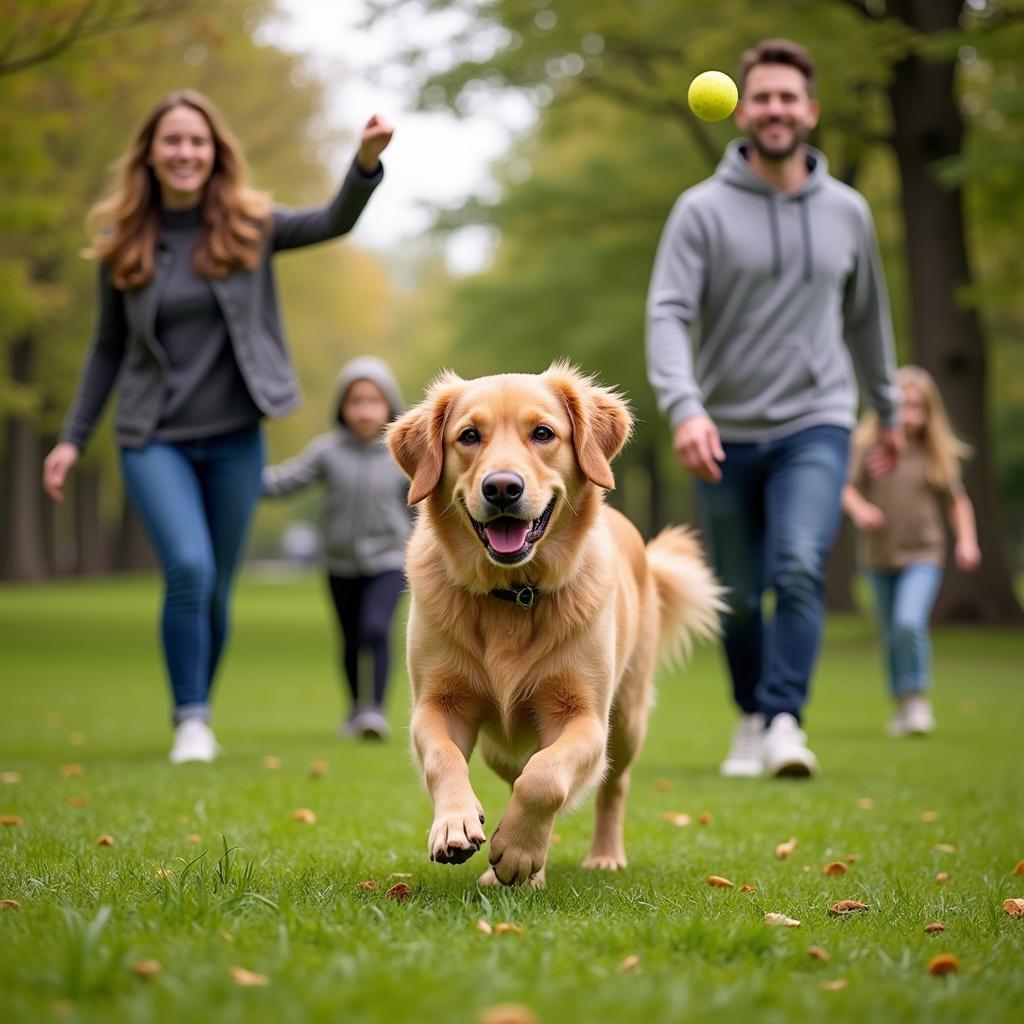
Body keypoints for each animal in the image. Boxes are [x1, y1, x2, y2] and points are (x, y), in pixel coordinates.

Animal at [385, 364, 729, 884]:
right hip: (501, 748)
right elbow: (445, 759)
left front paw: (518, 851)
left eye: (543, 433)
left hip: (626, 719)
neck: (513, 593)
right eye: (469, 436)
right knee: (516, 773)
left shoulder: (584, 716)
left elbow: (546, 779)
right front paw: (456, 825)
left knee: (610, 784)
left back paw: (595, 856)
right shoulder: (436, 703)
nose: (502, 488)